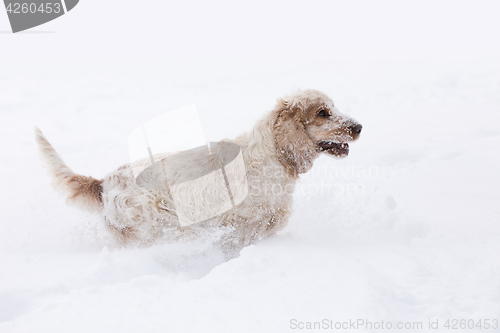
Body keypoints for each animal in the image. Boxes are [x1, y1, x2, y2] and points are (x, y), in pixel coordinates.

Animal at [36, 89, 364, 250]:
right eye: (322, 113)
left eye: (334, 107)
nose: (359, 127)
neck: (273, 154)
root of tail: (104, 183)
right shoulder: (240, 216)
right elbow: (254, 229)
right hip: (158, 222)